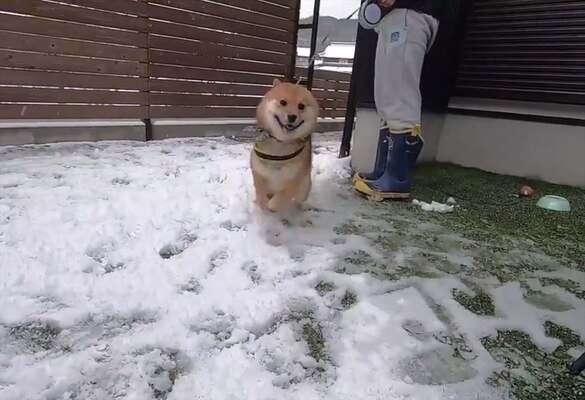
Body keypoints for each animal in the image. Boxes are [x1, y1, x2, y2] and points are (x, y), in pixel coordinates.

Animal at [251, 77, 320, 212]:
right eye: (283, 102)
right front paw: (262, 203)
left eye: (301, 106)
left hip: (305, 187)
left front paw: (272, 205)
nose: (292, 116)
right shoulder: (258, 170)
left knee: (299, 198)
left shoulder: (295, 178)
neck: (280, 144)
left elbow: (283, 195)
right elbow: (259, 188)